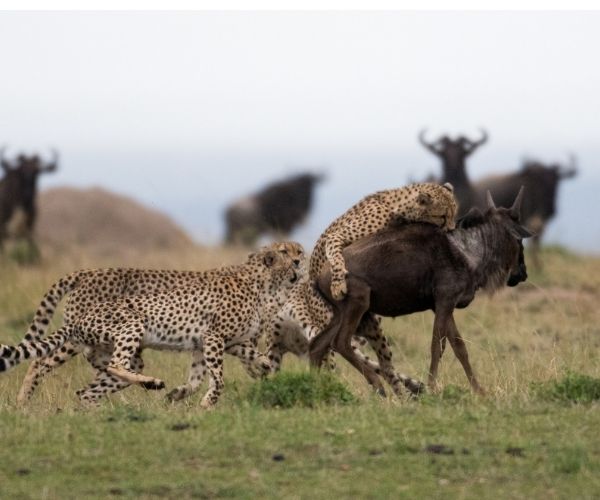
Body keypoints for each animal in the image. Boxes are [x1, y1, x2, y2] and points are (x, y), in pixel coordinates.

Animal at [12, 243, 308, 406]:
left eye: (300, 253)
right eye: (285, 252)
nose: (298, 264)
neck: (263, 283)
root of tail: (86, 272)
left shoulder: (217, 342)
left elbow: (204, 375)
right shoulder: (214, 338)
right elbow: (218, 378)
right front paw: (208, 401)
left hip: (115, 352)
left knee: (89, 388)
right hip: (123, 328)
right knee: (49, 363)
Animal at [312, 184, 458, 300]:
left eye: (454, 213)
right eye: (442, 216)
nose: (452, 229)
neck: (398, 207)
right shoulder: (336, 236)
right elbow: (336, 257)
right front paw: (337, 284)